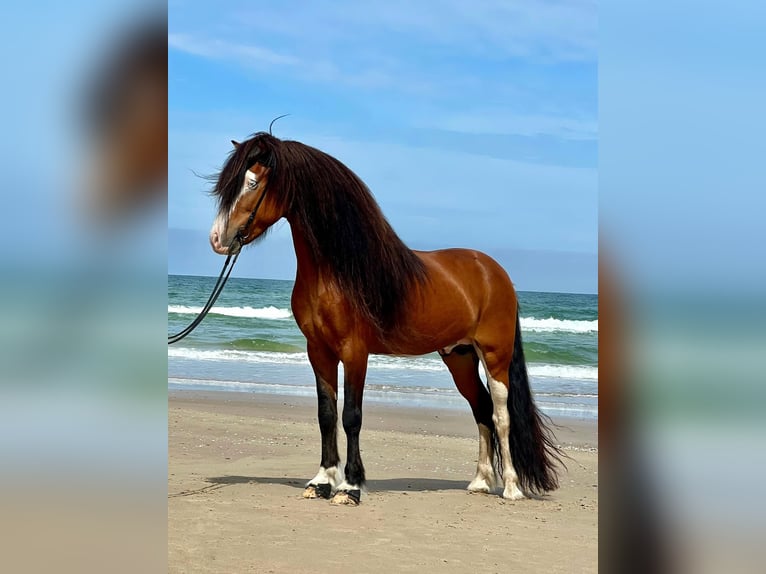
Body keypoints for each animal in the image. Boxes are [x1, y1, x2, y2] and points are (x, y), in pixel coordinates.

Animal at [208, 132, 563, 505]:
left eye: (252, 182)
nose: (218, 239)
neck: (336, 273)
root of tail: (494, 271)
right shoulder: (318, 351)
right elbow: (326, 415)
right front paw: (322, 481)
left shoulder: (355, 352)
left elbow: (351, 416)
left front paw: (349, 487)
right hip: (459, 356)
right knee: (481, 409)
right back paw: (480, 481)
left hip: (495, 356)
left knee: (501, 414)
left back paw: (511, 487)